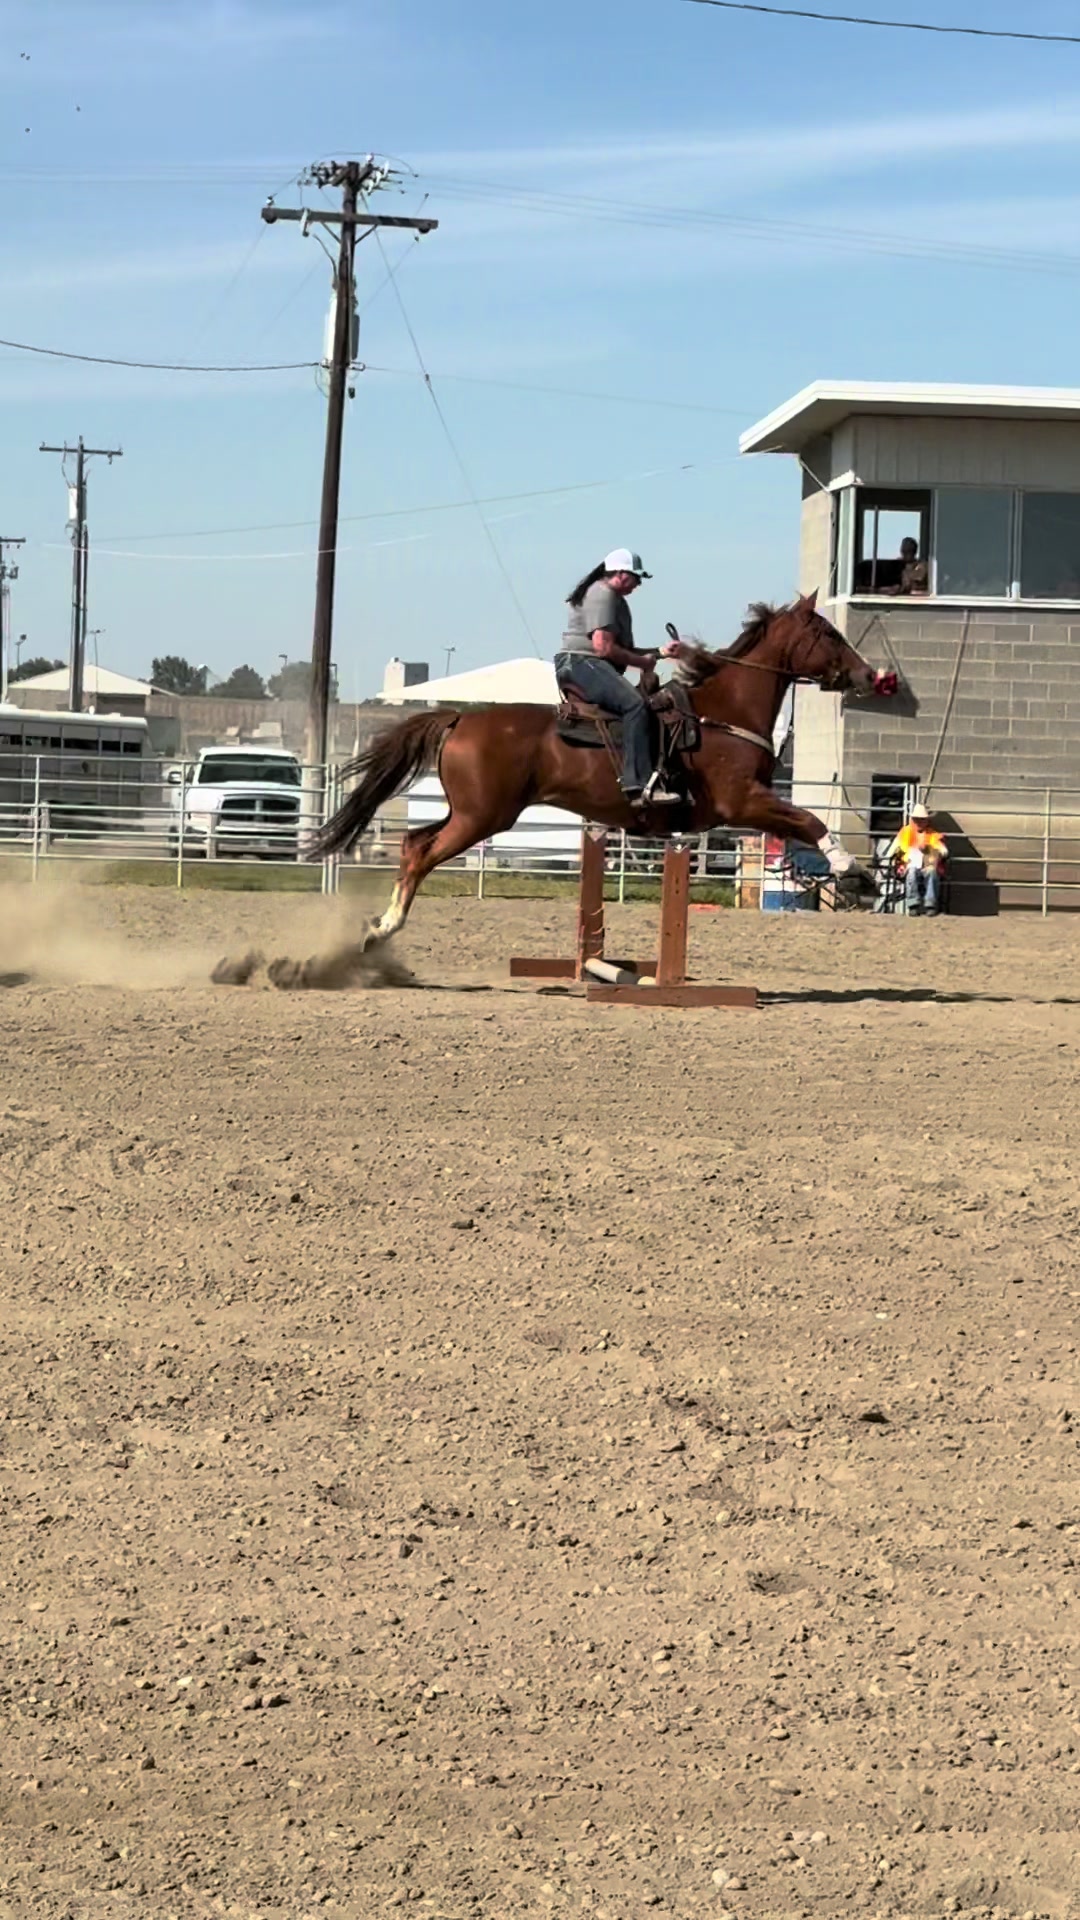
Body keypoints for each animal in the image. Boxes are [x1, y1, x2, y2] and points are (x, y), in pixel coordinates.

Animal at [311, 593, 885, 952]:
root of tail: (461, 717)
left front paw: (852, 876)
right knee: (423, 853)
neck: (723, 711)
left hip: (469, 813)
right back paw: (382, 930)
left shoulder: (751, 804)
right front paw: (858, 875)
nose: (868, 674)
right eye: (828, 632)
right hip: (482, 818)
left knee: (413, 843)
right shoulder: (742, 800)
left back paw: (379, 925)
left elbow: (801, 826)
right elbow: (810, 820)